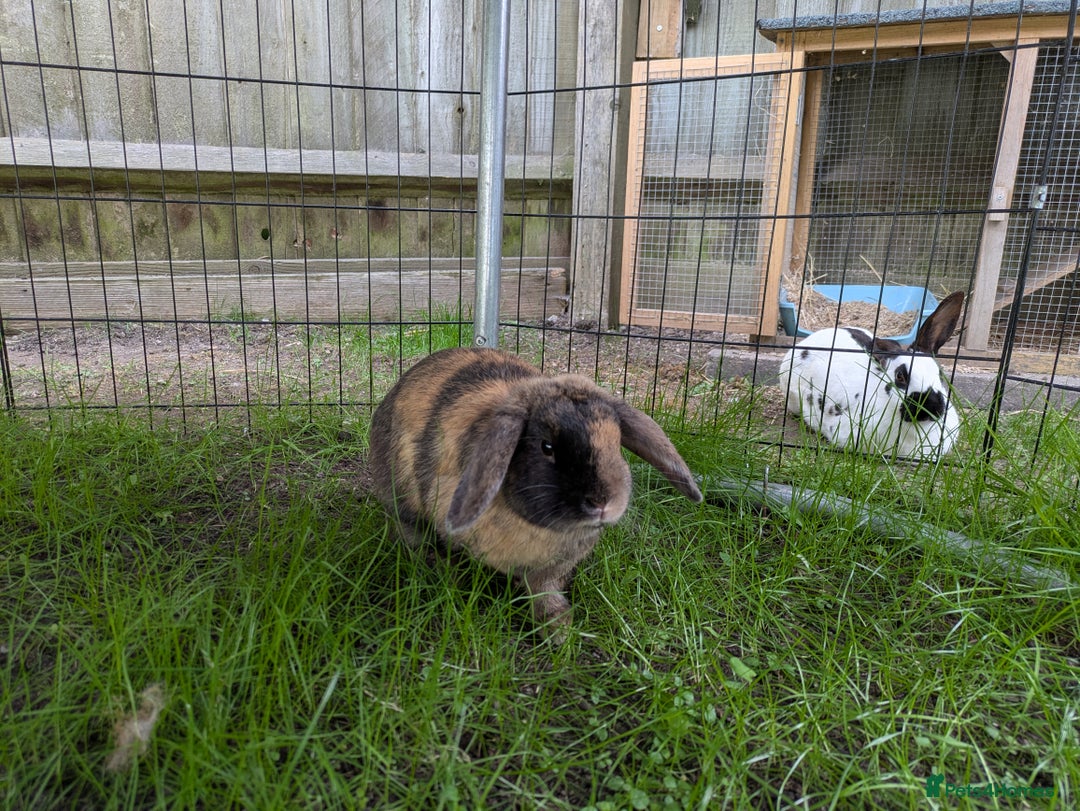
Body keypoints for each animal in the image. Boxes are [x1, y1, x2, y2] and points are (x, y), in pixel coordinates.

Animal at [368, 346, 703, 637]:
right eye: (547, 447)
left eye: (616, 442)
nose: (603, 502)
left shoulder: (552, 568)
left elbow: (544, 591)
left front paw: (558, 628)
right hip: (401, 503)